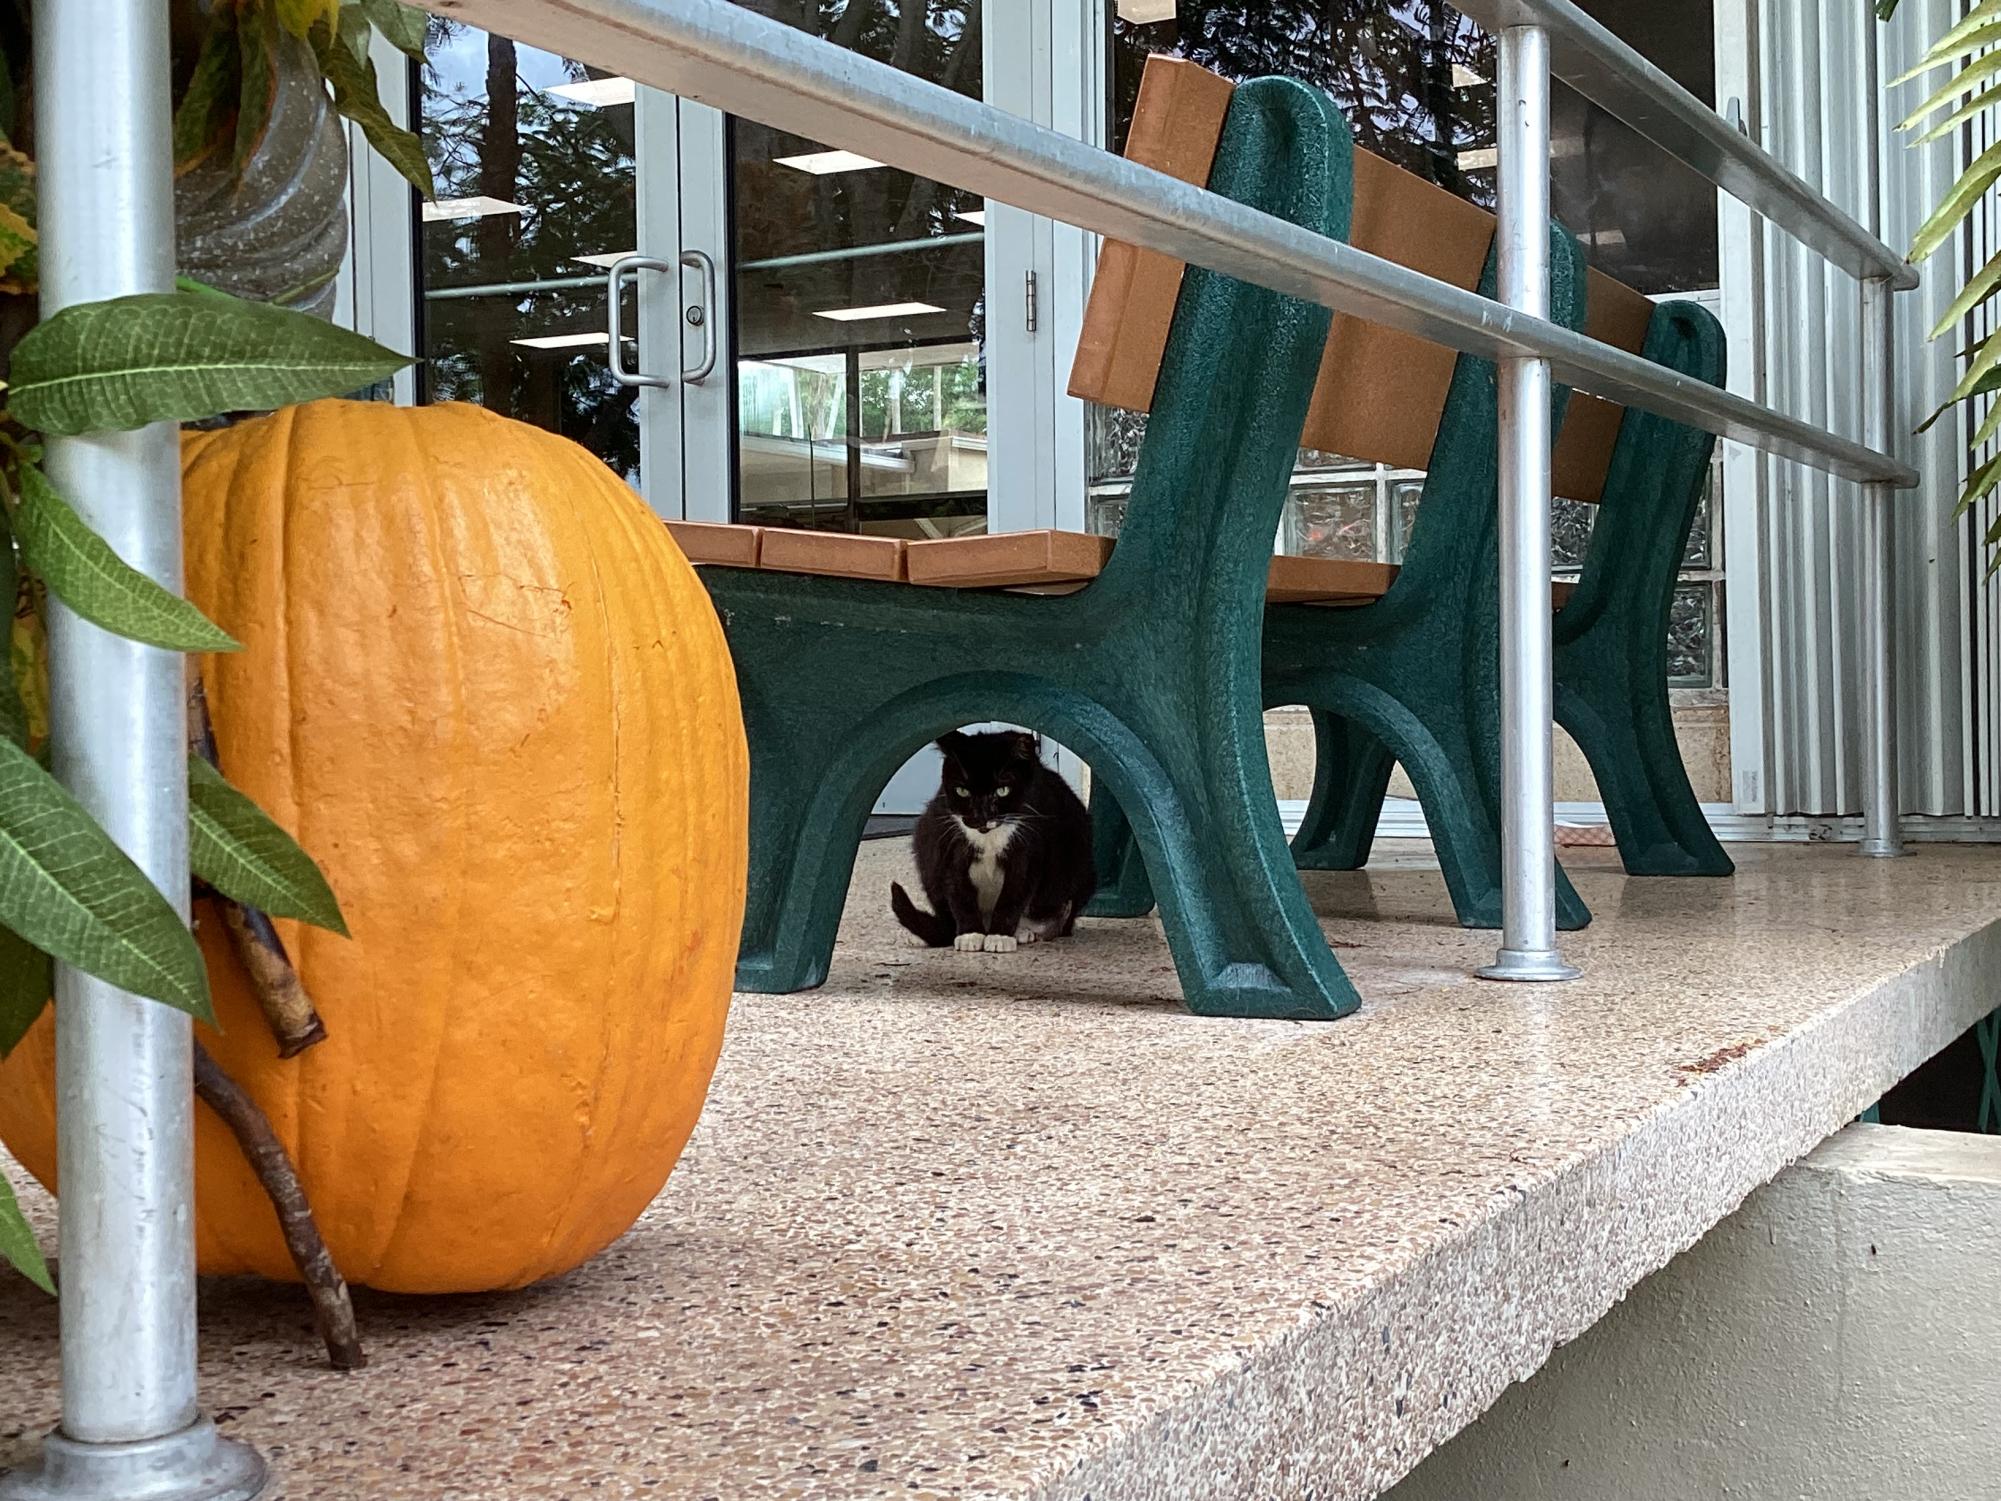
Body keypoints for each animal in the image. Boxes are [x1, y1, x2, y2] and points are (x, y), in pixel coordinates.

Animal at [892, 736, 1096, 956]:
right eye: (962, 791)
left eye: (1002, 790)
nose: (981, 816)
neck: (989, 838)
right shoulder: (950, 845)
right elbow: (958, 891)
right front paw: (970, 935)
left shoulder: (1027, 847)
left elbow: (1014, 894)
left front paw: (1000, 937)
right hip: (927, 847)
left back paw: (1024, 931)